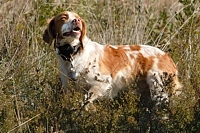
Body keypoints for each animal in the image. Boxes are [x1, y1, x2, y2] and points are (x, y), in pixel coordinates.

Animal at [43, 10, 182, 110]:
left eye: (78, 17)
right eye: (63, 17)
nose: (77, 21)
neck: (73, 54)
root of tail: (167, 56)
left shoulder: (103, 82)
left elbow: (84, 102)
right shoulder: (68, 88)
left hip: (157, 86)